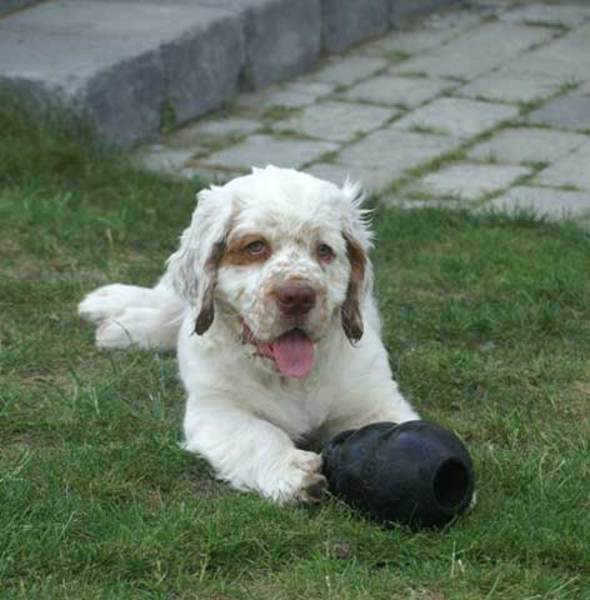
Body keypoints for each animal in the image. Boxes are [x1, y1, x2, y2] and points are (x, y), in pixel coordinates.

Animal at [78, 164, 420, 502]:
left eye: (324, 250)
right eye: (256, 247)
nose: (298, 296)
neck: (289, 379)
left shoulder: (374, 399)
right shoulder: (216, 408)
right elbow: (257, 434)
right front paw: (294, 470)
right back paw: (113, 314)